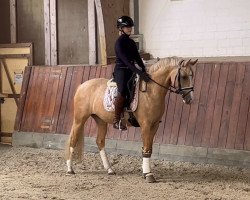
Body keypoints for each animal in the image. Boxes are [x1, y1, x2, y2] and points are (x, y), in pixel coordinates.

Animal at [65, 56, 198, 183]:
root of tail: (82, 85)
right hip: (79, 119)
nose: (190, 99)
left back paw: (109, 170)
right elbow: (146, 148)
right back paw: (70, 169)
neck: (151, 91)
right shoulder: (146, 125)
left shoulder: (154, 125)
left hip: (101, 121)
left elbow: (148, 148)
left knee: (100, 142)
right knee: (73, 140)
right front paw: (148, 174)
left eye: (192, 75)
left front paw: (145, 171)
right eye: (183, 76)